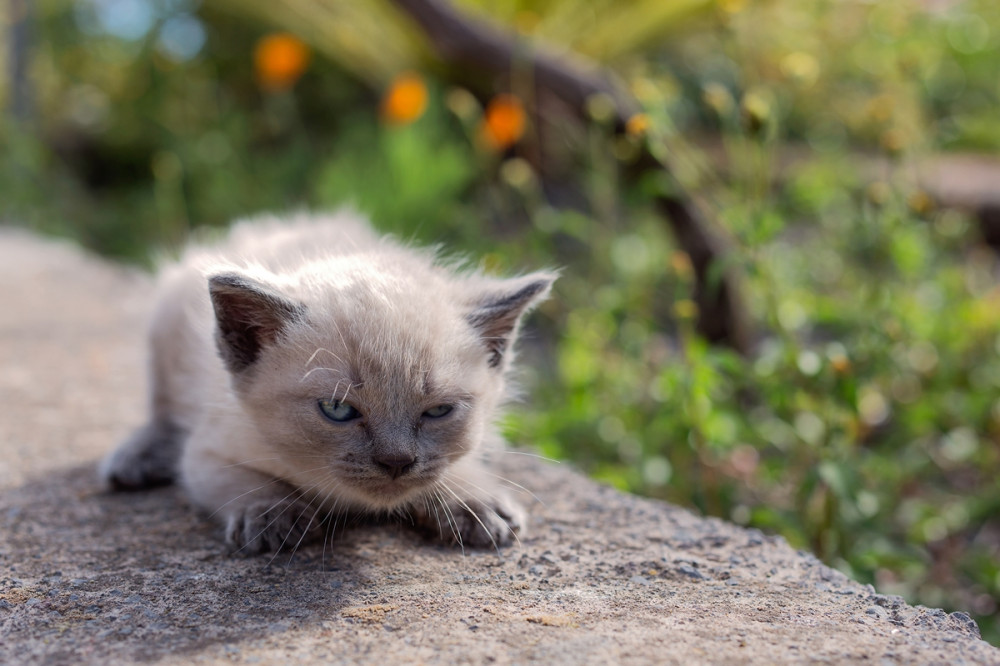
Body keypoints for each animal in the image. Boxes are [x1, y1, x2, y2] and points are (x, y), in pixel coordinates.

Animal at [99, 210, 556, 552]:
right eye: (337, 410)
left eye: (439, 411)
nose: (397, 462)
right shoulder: (208, 449)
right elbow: (235, 482)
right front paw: (272, 513)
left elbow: (453, 465)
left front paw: (476, 499)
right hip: (164, 326)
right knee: (161, 409)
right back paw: (135, 459)